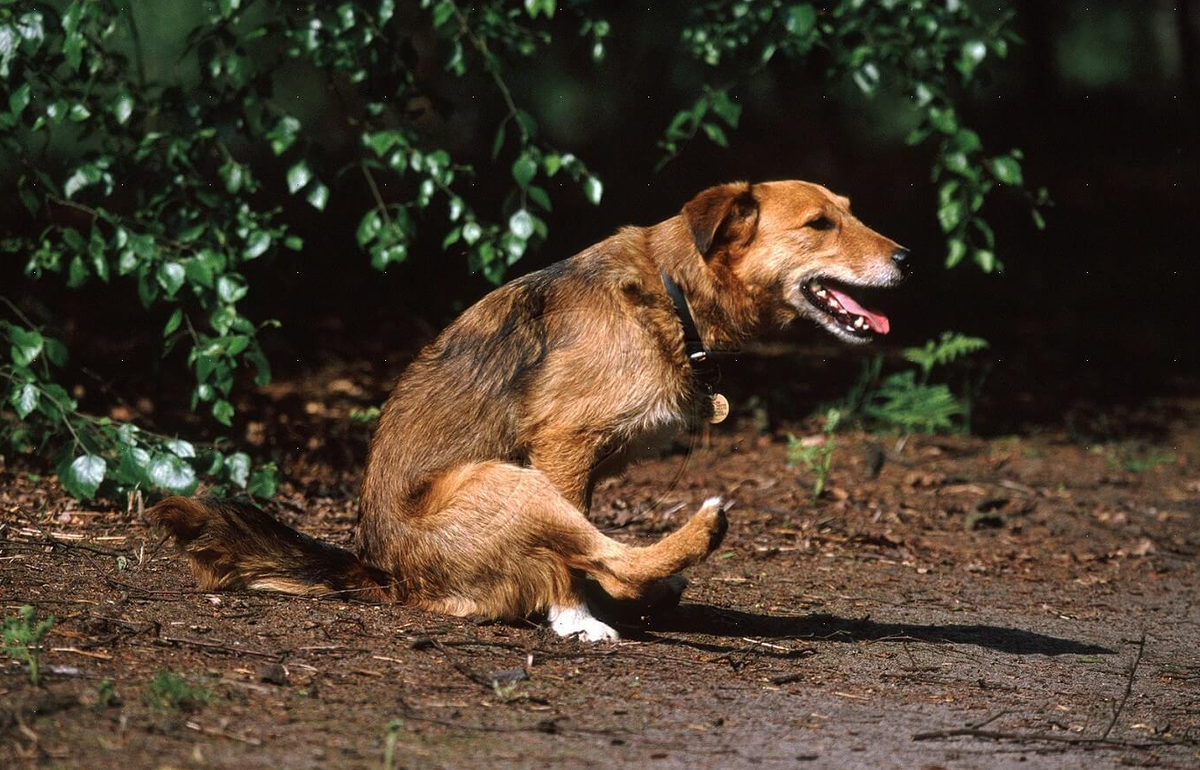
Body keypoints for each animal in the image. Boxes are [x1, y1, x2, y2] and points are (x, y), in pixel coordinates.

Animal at [145, 181, 902, 642]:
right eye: (819, 225)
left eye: (850, 211)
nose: (909, 256)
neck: (670, 295)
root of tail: (385, 576)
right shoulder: (563, 445)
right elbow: (579, 562)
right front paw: (574, 618)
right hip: (506, 481)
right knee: (603, 553)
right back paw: (681, 548)